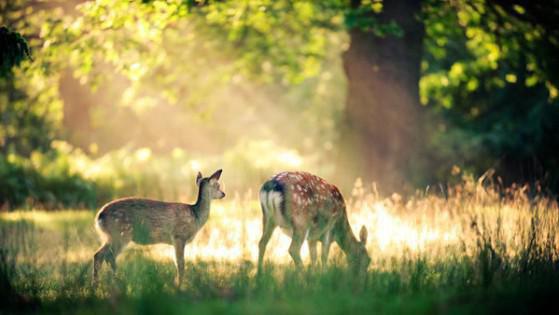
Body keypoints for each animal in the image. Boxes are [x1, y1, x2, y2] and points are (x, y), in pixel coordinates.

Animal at [91, 170, 223, 286]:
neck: (196, 216)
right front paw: (179, 285)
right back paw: (115, 282)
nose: (223, 194)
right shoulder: (179, 236)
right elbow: (180, 263)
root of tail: (99, 217)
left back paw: (98, 284)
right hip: (121, 233)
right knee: (109, 256)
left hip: (111, 236)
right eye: (217, 185)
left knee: (99, 255)